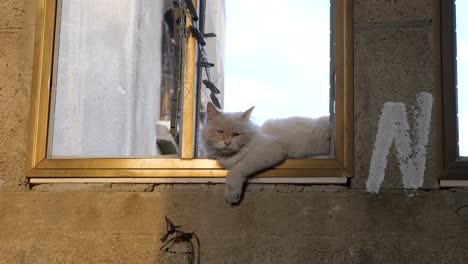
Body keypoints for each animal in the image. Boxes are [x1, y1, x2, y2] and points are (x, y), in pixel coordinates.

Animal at [201, 102, 330, 204]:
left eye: (236, 134)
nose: (227, 143)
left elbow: (235, 170)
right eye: (220, 132)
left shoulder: (267, 150)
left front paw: (232, 195)